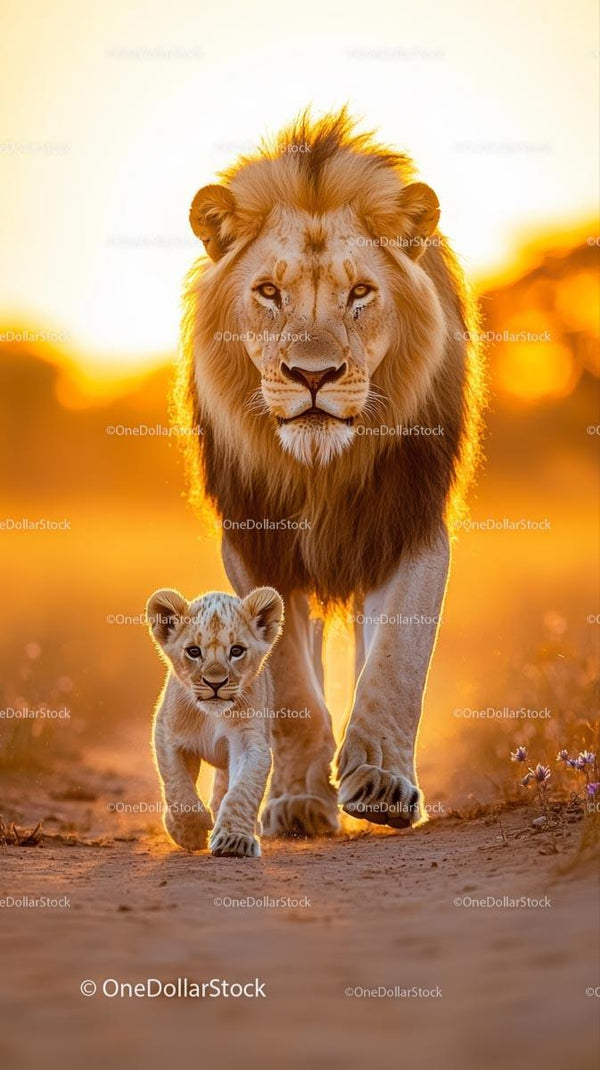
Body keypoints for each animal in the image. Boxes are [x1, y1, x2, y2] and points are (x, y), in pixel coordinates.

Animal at [147, 587, 284, 857]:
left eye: (237, 650)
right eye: (194, 651)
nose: (215, 683)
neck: (212, 715)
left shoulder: (250, 742)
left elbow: (242, 790)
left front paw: (234, 840)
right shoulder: (167, 735)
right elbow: (178, 788)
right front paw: (190, 831)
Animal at [177, 109, 483, 838]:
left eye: (360, 292)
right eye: (268, 292)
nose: (312, 375)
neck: (322, 469)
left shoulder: (409, 522)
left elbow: (395, 664)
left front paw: (381, 785)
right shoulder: (256, 542)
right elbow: (289, 686)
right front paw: (294, 802)